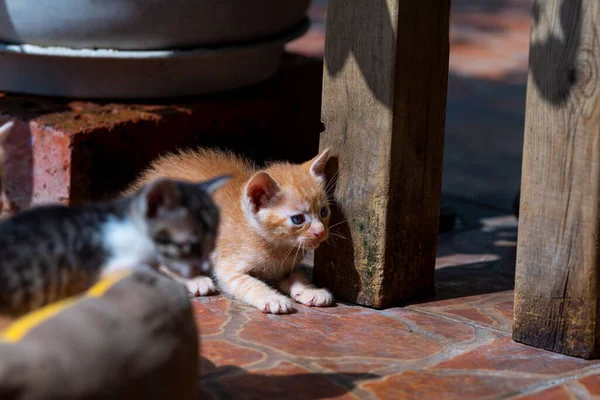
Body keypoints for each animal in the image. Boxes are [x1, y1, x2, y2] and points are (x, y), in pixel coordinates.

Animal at [126, 148, 332, 314]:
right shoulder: (228, 268)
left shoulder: (288, 266)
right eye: (298, 219)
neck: (278, 249)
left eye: (324, 212)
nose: (320, 232)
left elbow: (299, 276)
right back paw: (197, 281)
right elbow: (251, 284)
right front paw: (272, 298)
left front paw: (311, 290)